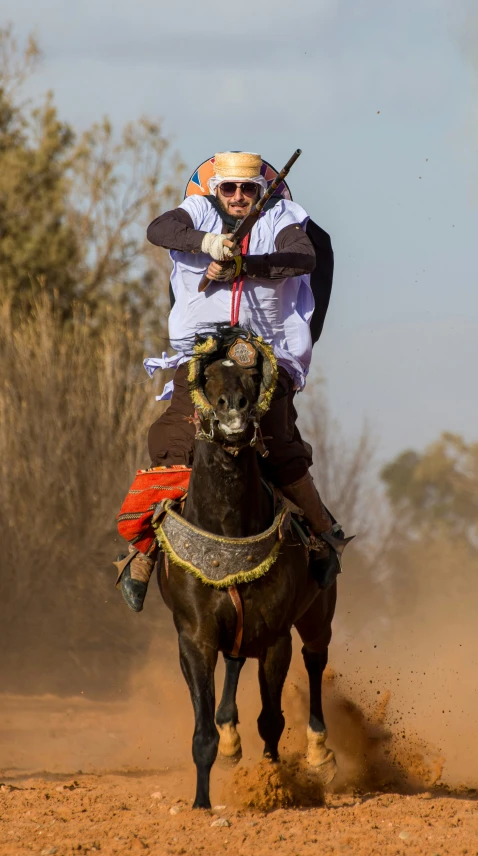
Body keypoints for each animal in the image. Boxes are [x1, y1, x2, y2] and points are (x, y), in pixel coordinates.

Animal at [157, 342, 336, 808]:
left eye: (254, 377)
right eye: (206, 379)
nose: (234, 409)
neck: (228, 528)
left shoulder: (276, 638)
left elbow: (271, 719)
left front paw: (274, 784)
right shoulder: (195, 636)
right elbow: (203, 731)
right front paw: (201, 802)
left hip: (318, 616)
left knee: (315, 659)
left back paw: (319, 754)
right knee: (235, 665)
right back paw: (230, 738)